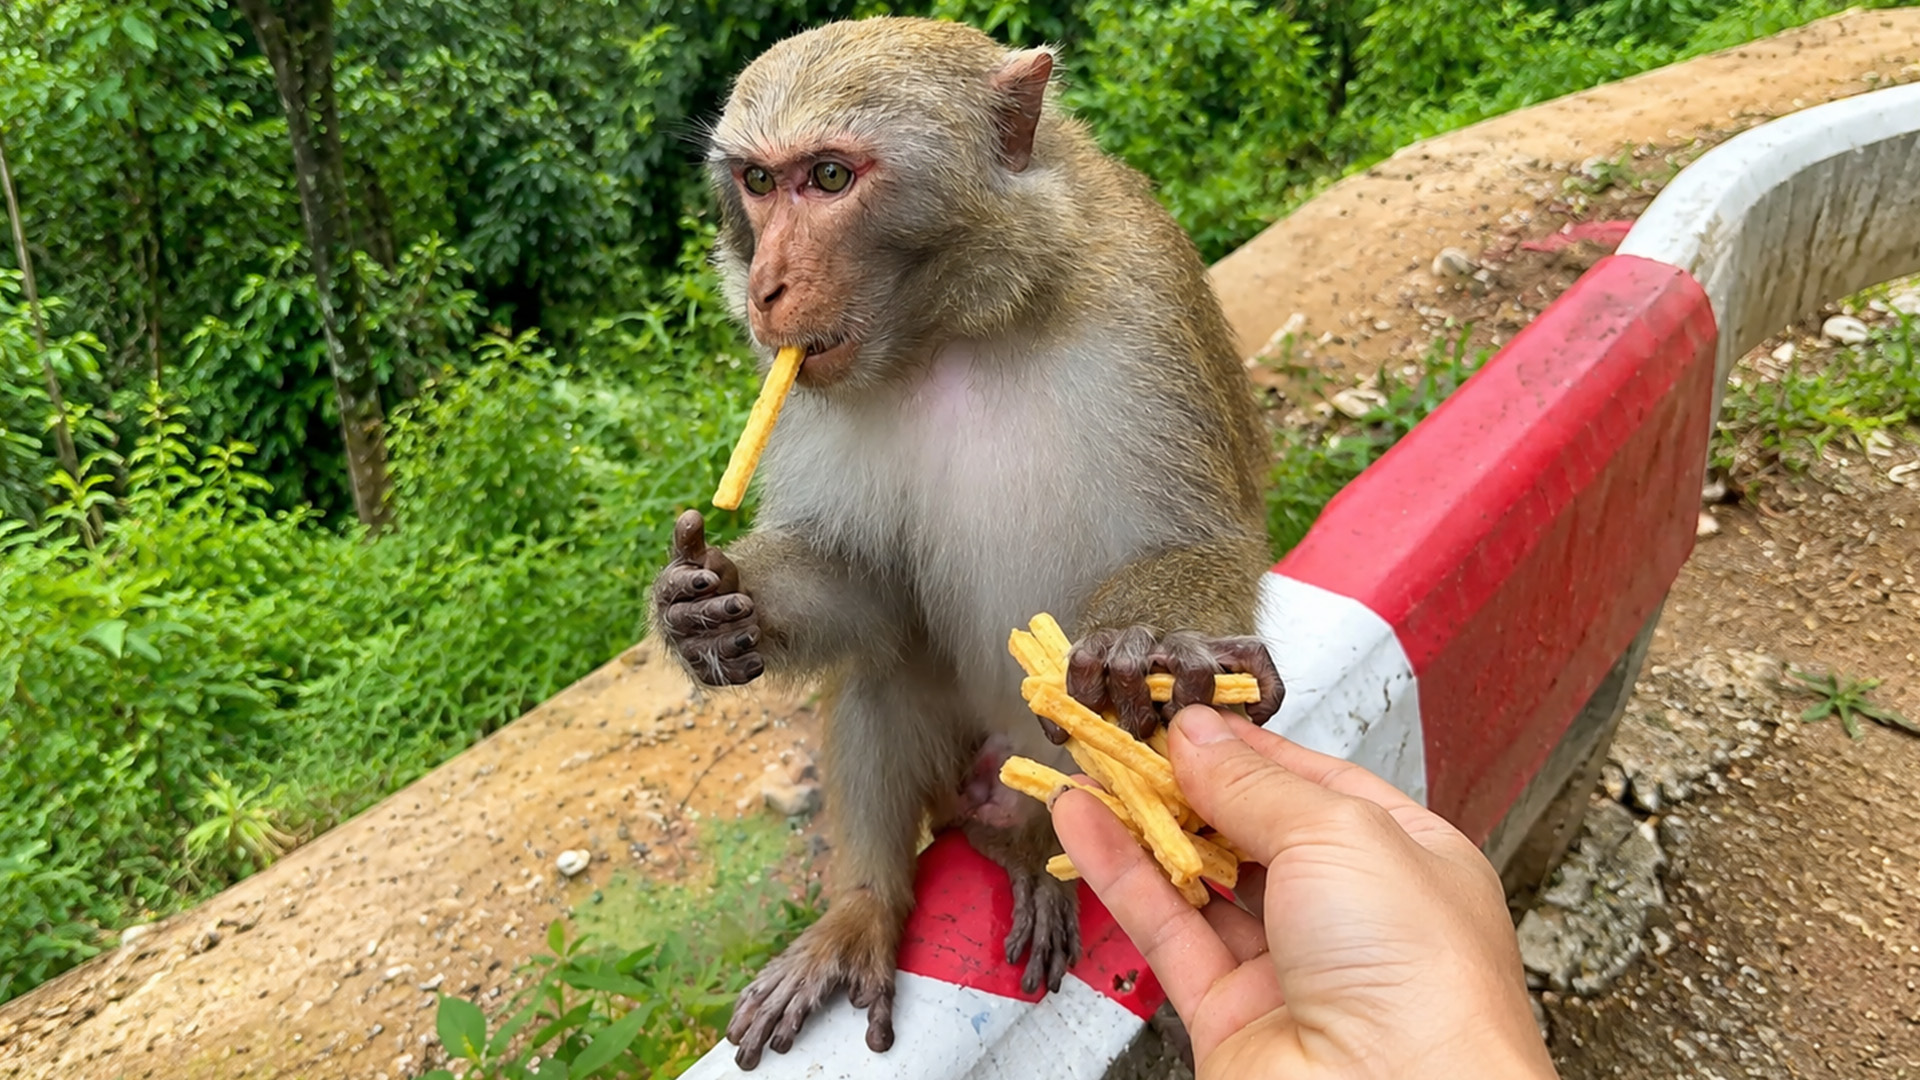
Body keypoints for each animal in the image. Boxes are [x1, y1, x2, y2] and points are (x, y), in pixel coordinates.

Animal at [650, 16, 1284, 1070]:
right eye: (758, 181)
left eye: (830, 177)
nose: (765, 292)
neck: (953, 329)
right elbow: (866, 585)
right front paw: (709, 607)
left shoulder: (1144, 307)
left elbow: (1205, 541)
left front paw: (1149, 651)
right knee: (884, 668)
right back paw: (865, 910)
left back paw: (1037, 850)